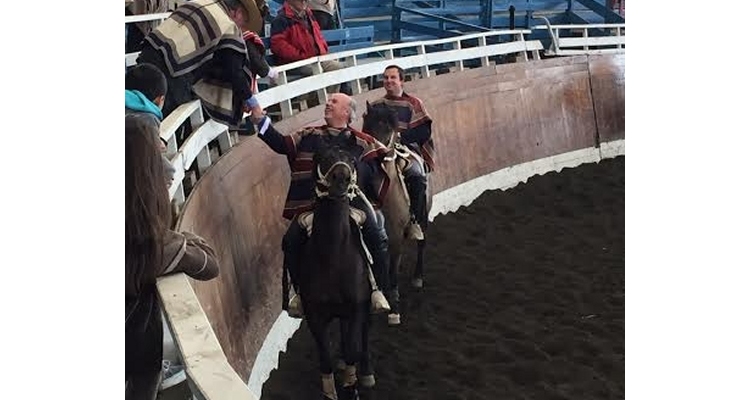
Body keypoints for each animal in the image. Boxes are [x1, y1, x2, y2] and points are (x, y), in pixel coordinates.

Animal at [300, 145, 376, 398]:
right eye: (321, 157)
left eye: (351, 159)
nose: (340, 178)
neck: (333, 257)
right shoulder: (315, 315)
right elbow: (325, 359)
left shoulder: (357, 308)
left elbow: (354, 349)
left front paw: (352, 387)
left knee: (363, 337)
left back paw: (366, 372)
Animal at [364, 100, 434, 324]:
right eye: (366, 126)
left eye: (388, 129)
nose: (371, 155)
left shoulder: (395, 240)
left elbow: (392, 272)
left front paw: (394, 308)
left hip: (423, 216)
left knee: (422, 242)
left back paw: (417, 277)